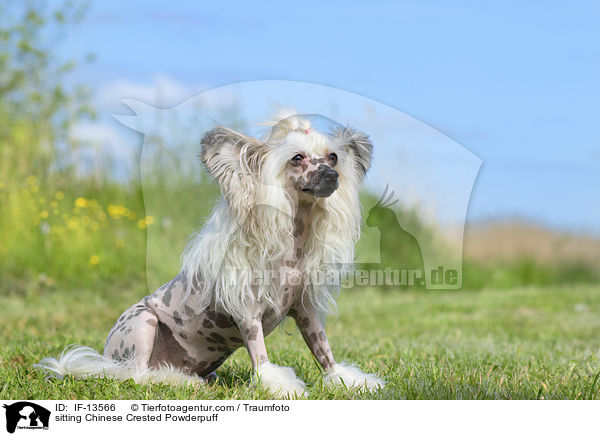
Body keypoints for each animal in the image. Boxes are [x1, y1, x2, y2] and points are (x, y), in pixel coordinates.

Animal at [36, 113, 384, 398]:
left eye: (334, 157)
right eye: (297, 158)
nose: (332, 174)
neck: (294, 243)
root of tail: (106, 362)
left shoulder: (305, 311)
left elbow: (323, 351)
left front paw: (346, 380)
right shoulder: (248, 314)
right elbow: (261, 356)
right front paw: (279, 385)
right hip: (142, 323)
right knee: (138, 377)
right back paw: (178, 381)